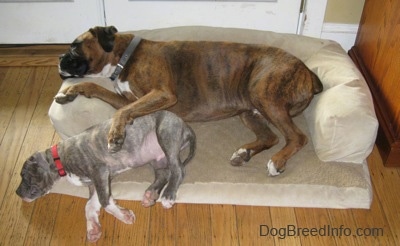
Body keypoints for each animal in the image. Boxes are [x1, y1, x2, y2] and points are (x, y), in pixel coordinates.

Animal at [15, 110, 195, 243]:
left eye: (23, 174)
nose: (17, 193)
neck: (59, 158)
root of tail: (185, 125)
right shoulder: (96, 182)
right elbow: (90, 205)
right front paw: (93, 228)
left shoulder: (99, 172)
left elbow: (105, 202)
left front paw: (123, 216)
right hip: (157, 159)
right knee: (164, 173)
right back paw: (150, 195)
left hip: (165, 135)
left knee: (178, 170)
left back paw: (168, 196)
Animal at [55, 26, 322, 176]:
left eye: (75, 46)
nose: (59, 58)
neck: (125, 57)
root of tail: (307, 70)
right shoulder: (128, 100)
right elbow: (100, 91)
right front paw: (70, 92)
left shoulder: (162, 94)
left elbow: (120, 113)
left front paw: (115, 137)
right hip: (249, 109)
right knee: (271, 137)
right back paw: (244, 153)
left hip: (263, 93)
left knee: (297, 137)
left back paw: (277, 161)